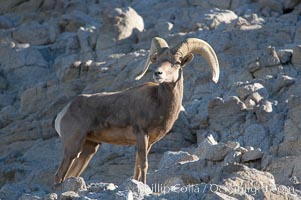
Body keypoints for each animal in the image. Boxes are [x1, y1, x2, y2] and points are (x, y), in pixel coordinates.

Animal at [53, 36, 218, 184]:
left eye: (176, 62)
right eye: (157, 60)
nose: (158, 74)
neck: (158, 103)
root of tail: (64, 112)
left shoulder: (148, 142)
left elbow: (137, 167)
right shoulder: (141, 135)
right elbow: (143, 165)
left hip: (88, 149)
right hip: (73, 147)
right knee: (59, 176)